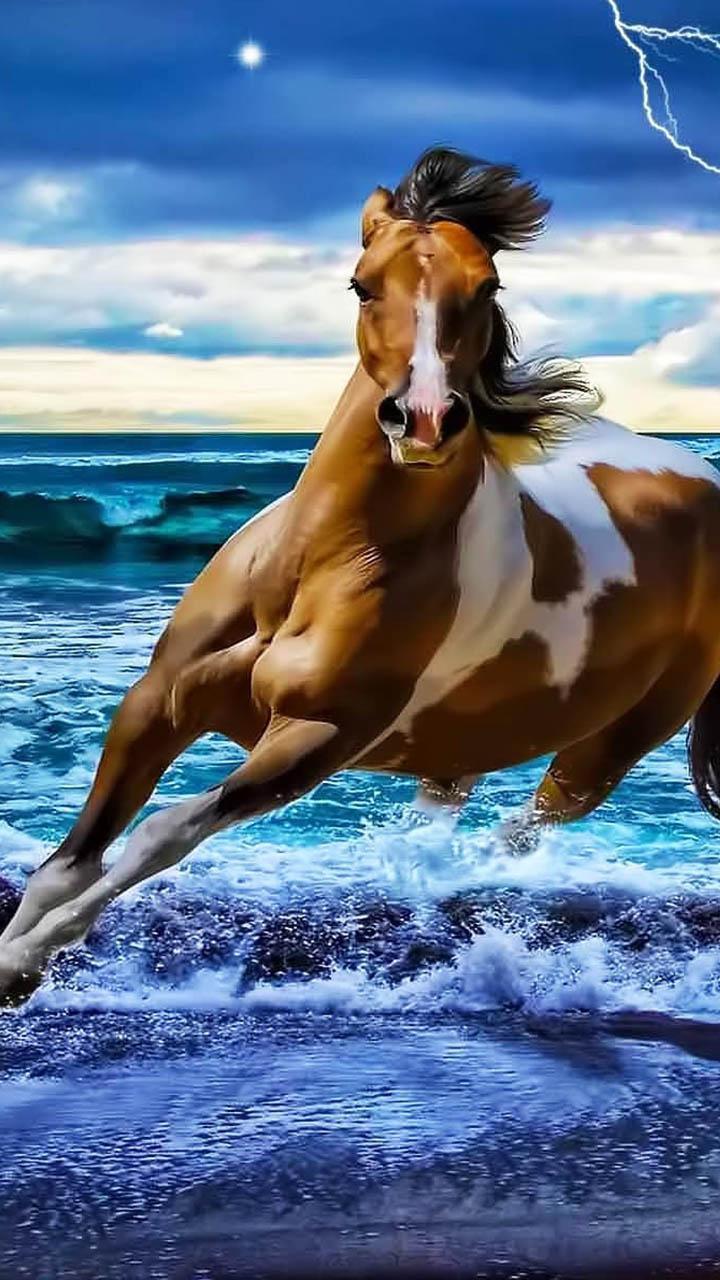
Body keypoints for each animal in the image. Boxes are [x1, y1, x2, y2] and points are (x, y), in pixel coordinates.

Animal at [2, 146, 720, 1006]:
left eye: (488, 286)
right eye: (361, 284)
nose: (425, 419)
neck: (317, 566)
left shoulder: (317, 739)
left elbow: (161, 834)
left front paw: (26, 961)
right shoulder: (158, 702)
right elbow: (69, 861)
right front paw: (12, 956)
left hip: (614, 742)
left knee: (519, 832)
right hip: (466, 743)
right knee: (440, 822)